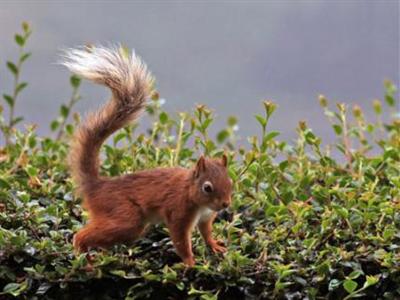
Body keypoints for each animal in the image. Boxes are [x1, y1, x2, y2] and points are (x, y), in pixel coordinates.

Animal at [61, 45, 233, 266]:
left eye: (230, 182)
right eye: (207, 188)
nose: (225, 204)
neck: (191, 192)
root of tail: (97, 186)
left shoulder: (205, 217)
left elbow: (206, 232)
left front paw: (214, 245)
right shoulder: (178, 211)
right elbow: (180, 240)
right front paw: (190, 263)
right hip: (125, 219)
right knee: (82, 235)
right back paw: (85, 258)